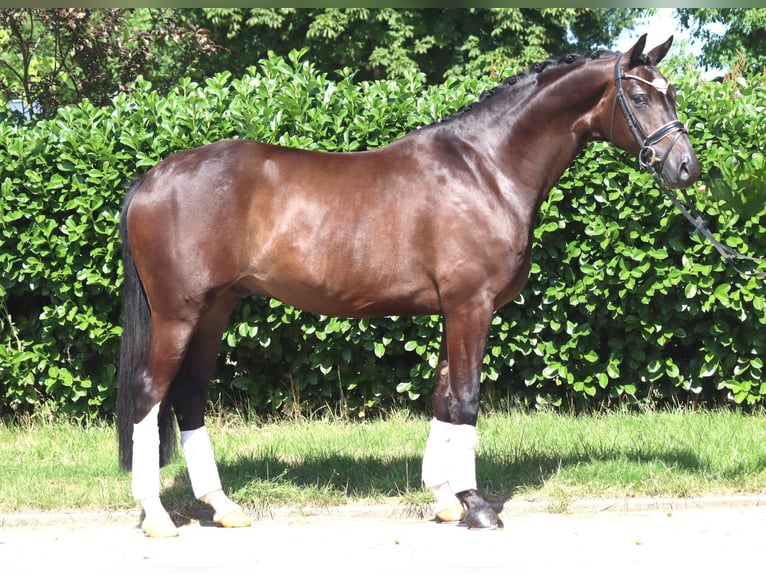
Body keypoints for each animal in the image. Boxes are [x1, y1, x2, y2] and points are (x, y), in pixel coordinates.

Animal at [116, 34, 699, 537]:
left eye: (671, 92)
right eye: (641, 95)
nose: (686, 169)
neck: (486, 169)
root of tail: (152, 178)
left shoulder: (453, 310)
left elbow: (442, 396)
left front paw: (443, 499)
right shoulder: (471, 306)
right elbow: (465, 398)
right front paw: (476, 505)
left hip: (215, 309)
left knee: (189, 396)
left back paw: (222, 507)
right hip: (179, 313)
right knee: (149, 394)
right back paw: (158, 516)